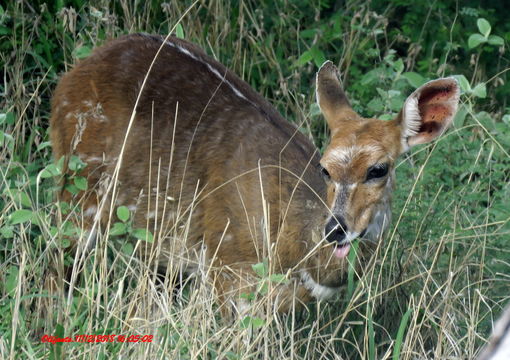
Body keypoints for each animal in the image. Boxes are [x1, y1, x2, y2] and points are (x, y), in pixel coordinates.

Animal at [49, 34, 460, 312]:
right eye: (324, 168)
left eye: (379, 169)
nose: (335, 229)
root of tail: (73, 74)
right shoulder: (227, 272)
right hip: (80, 190)